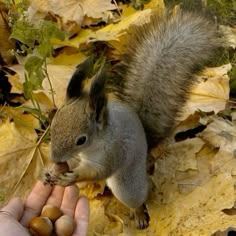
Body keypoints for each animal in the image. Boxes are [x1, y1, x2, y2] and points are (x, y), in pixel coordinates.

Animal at [44, 10, 219, 229]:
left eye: (81, 140)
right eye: (53, 125)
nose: (54, 158)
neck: (96, 144)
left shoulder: (113, 152)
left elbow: (98, 171)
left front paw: (73, 177)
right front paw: (52, 171)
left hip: (128, 186)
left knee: (137, 198)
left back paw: (139, 215)